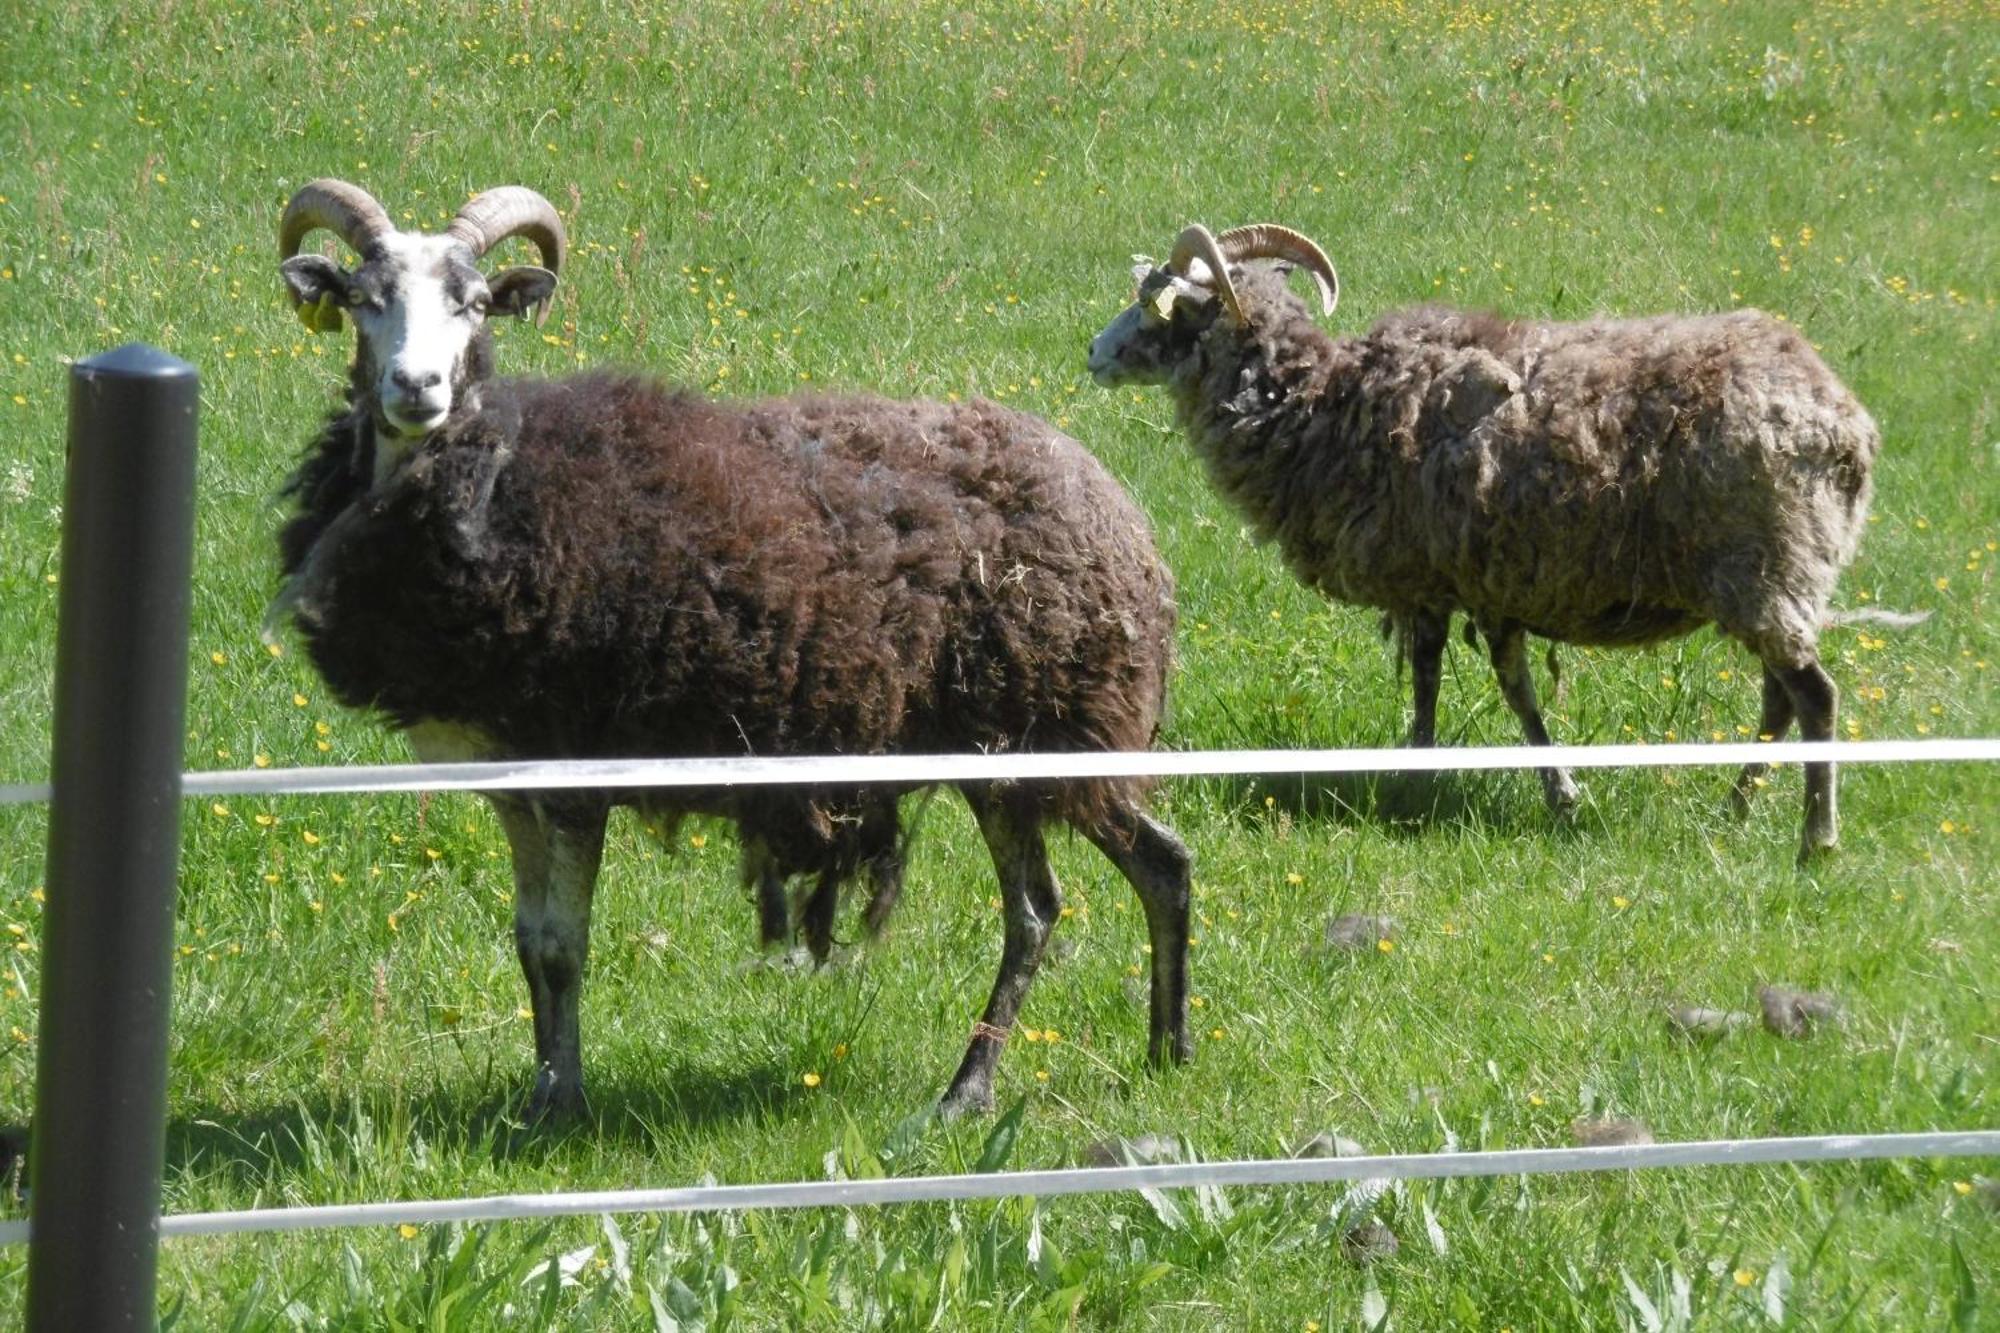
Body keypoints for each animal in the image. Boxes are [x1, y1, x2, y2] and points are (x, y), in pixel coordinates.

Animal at [274, 176, 1192, 1112]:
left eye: (472, 303)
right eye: (364, 299)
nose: (416, 386)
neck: (496, 481)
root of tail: (1128, 528)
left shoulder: (573, 775)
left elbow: (564, 946)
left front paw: (563, 1103)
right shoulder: (508, 777)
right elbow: (530, 941)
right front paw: (537, 1096)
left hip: (1028, 739)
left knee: (1039, 908)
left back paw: (968, 1091)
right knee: (1158, 863)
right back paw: (1166, 1050)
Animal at [1088, 222, 1880, 856]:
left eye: (1158, 304)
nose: (1093, 352)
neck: (1318, 402)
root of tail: (1846, 427)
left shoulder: (1426, 577)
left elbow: (1429, 681)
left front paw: (1415, 779)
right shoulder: (1493, 582)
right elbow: (1518, 691)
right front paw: (1562, 794)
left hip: (1767, 567)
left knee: (1815, 697)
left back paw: (1816, 839)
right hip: (1769, 579)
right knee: (1780, 700)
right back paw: (1735, 808)